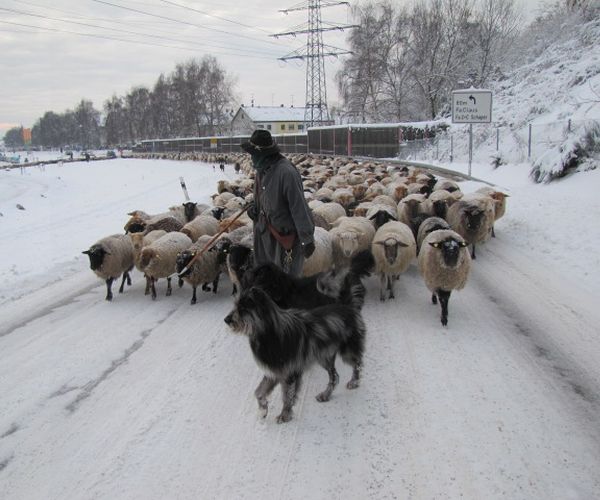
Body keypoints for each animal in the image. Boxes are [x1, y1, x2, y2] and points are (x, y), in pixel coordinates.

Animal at [223, 264, 368, 424]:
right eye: (235, 305)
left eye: (242, 308)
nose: (226, 319)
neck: (270, 332)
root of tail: (347, 307)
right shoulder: (274, 372)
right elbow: (259, 392)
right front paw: (263, 409)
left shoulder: (290, 373)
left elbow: (287, 396)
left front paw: (285, 415)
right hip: (324, 357)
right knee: (334, 377)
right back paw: (325, 395)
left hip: (347, 351)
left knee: (358, 364)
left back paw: (354, 382)